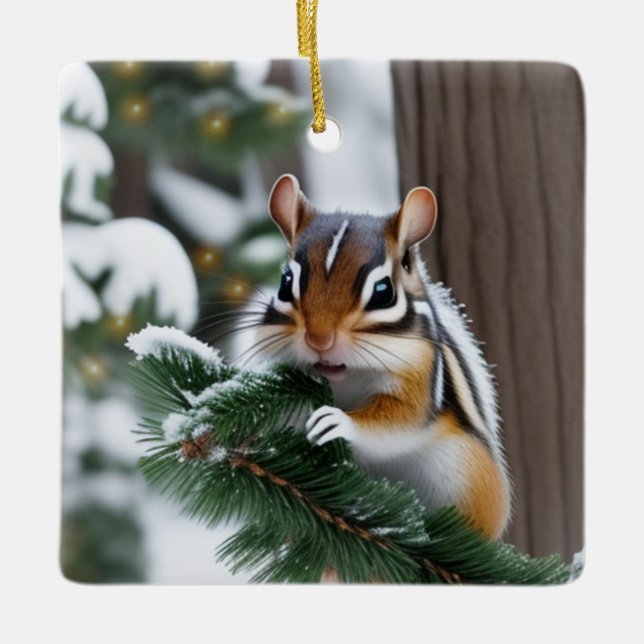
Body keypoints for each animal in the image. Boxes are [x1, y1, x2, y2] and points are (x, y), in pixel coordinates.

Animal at [255, 173, 512, 539]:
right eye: (285, 283)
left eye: (383, 291)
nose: (319, 338)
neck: (346, 376)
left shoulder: (420, 374)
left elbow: (399, 419)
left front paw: (337, 421)